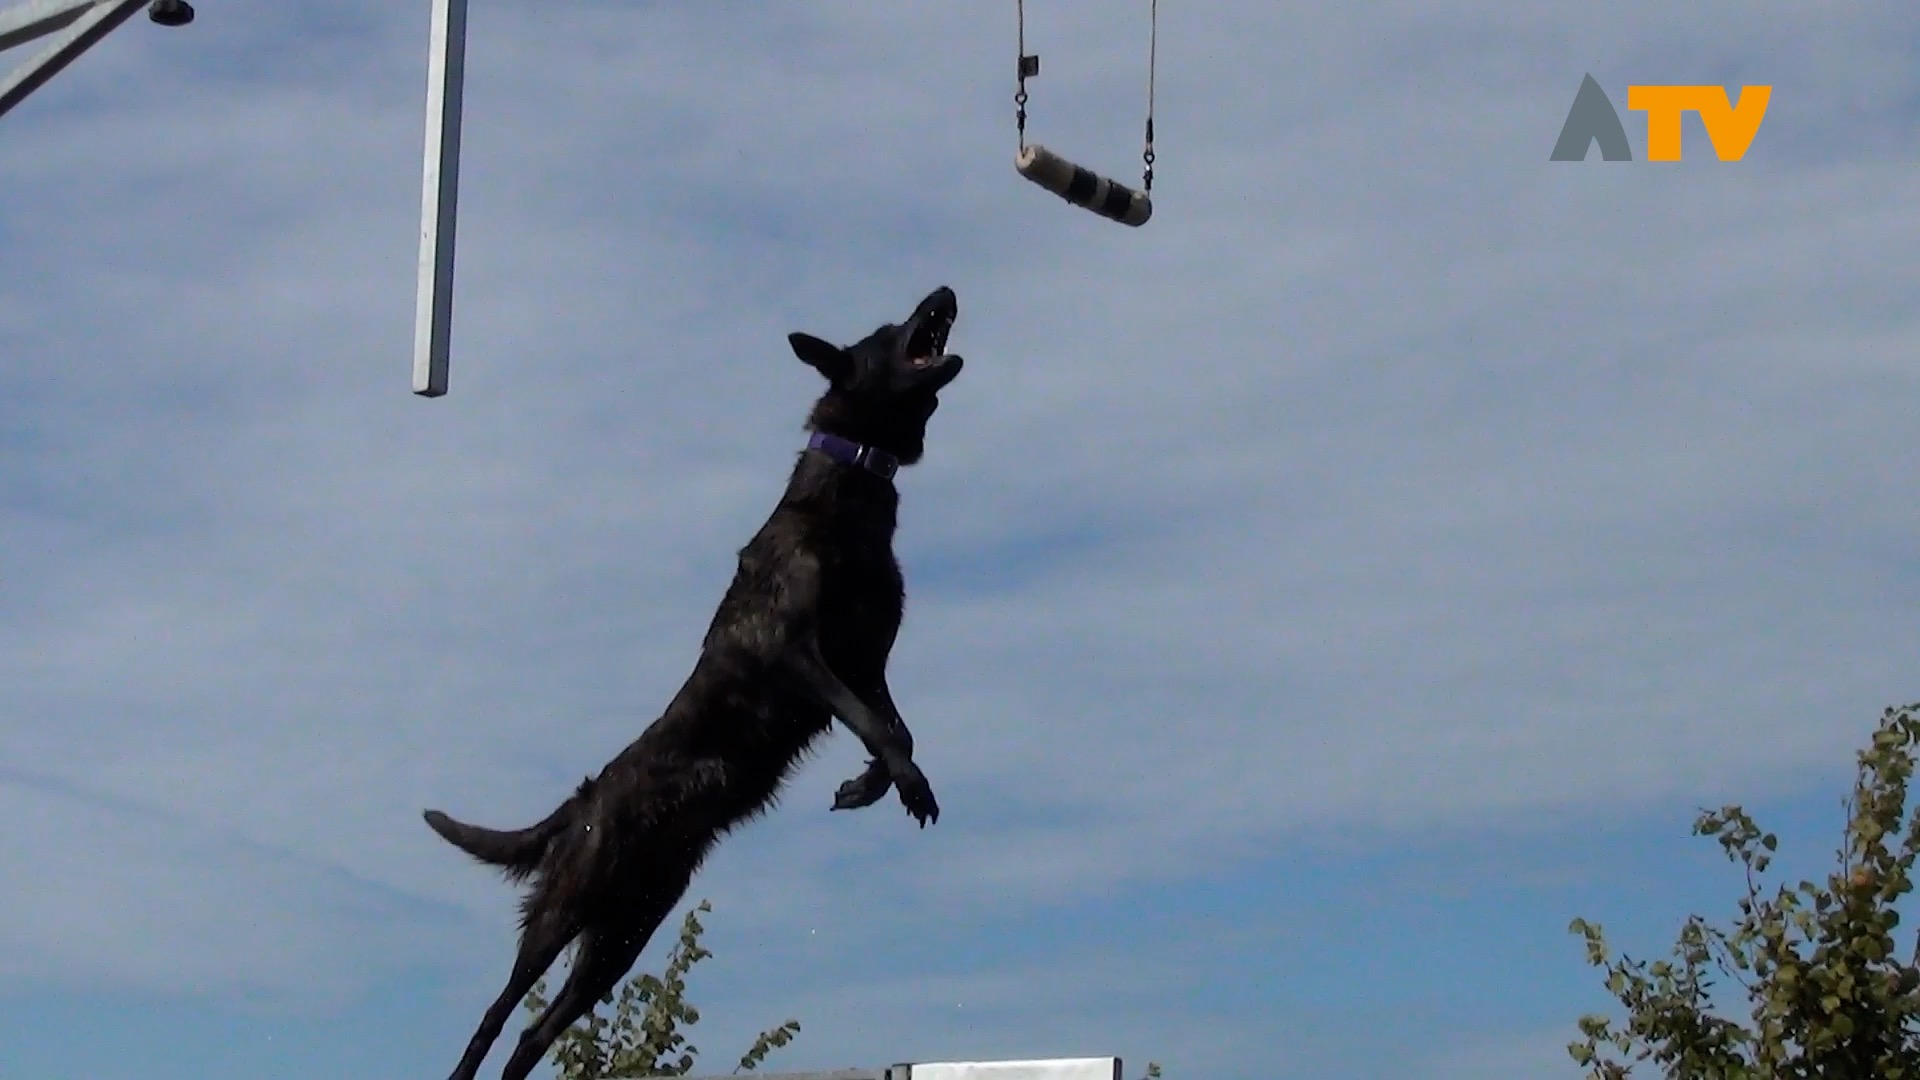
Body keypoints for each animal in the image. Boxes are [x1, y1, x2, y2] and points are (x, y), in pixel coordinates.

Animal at [420, 284, 960, 1076]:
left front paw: (872, 785)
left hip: (626, 929)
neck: (851, 487)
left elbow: (894, 728)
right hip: (570, 904)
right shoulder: (794, 651)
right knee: (494, 1016)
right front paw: (901, 784)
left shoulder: (868, 662)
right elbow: (876, 725)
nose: (944, 293)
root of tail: (583, 801)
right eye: (891, 328)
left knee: (534, 1033)